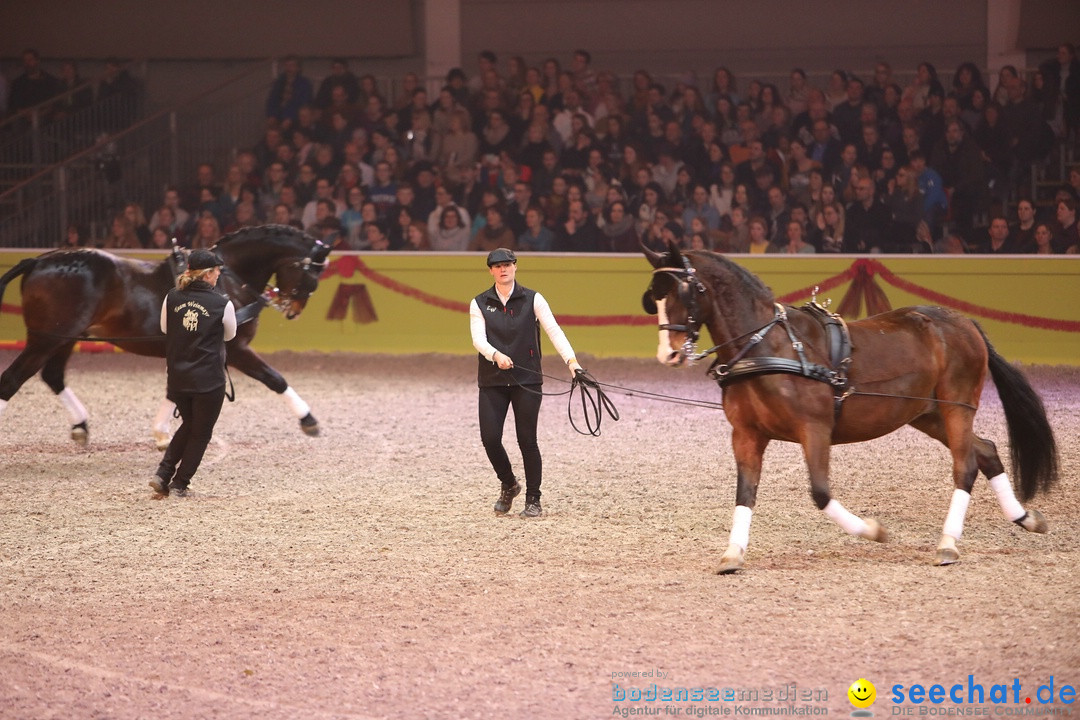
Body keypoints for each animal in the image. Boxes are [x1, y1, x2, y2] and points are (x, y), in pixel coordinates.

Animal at [0, 223, 330, 444]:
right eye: (312, 275)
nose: (293, 309)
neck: (227, 280)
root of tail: (38, 261)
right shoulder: (235, 349)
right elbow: (274, 378)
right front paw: (308, 419)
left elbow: (179, 387)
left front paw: (161, 433)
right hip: (46, 339)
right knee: (11, 380)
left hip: (66, 338)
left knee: (53, 376)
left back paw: (80, 425)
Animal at [643, 245, 1058, 569]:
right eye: (653, 298)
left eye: (685, 292)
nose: (669, 354)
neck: (768, 347)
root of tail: (963, 320)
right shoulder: (746, 435)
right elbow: (745, 493)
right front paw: (733, 554)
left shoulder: (815, 430)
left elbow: (821, 493)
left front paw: (873, 530)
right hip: (928, 414)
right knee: (986, 451)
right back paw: (1024, 518)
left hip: (958, 406)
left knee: (966, 465)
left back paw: (948, 544)